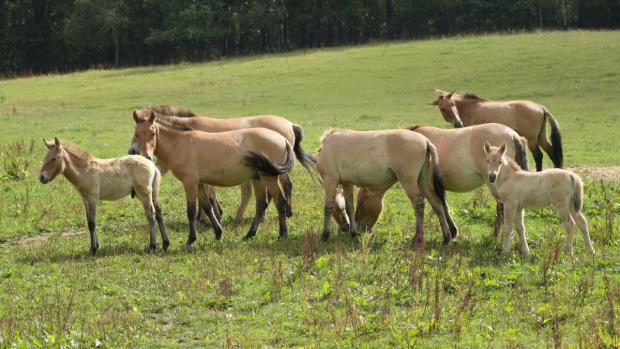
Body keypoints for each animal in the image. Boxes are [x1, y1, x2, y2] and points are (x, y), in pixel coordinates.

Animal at [40, 137, 168, 254]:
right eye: (44, 158)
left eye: (53, 159)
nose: (41, 177)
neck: (85, 170)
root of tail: (152, 165)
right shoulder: (85, 199)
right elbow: (89, 221)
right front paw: (95, 246)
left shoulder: (92, 198)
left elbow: (92, 223)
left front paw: (93, 249)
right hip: (152, 194)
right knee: (159, 213)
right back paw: (165, 244)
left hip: (144, 194)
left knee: (150, 215)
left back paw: (152, 246)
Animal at [128, 104, 318, 223]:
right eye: (136, 132)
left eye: (148, 133)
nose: (132, 151)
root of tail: (290, 124)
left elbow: (209, 193)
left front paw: (209, 216)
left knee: (284, 187)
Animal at [314, 128, 456, 245]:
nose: (344, 228)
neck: (328, 145)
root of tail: (425, 141)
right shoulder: (347, 183)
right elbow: (350, 207)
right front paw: (353, 233)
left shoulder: (330, 180)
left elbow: (327, 207)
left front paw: (325, 235)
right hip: (423, 180)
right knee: (436, 203)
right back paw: (446, 238)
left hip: (408, 181)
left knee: (419, 204)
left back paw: (418, 238)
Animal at [336, 122, 532, 234]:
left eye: (361, 202)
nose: (359, 227)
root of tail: (513, 135)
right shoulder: (435, 185)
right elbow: (442, 204)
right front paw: (452, 231)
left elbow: (440, 204)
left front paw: (451, 231)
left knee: (502, 206)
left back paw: (496, 235)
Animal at [428, 89, 564, 171]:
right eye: (442, 109)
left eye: (452, 104)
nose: (458, 123)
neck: (470, 108)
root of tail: (540, 107)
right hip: (541, 137)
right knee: (552, 153)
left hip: (532, 140)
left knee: (538, 156)